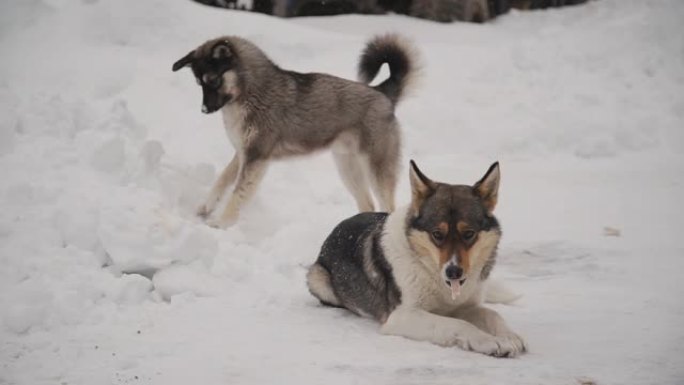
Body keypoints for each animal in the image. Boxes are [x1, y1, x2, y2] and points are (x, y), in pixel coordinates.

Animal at [171, 34, 416, 226]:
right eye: (199, 83)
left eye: (213, 80)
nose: (204, 109)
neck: (252, 91)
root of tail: (382, 93)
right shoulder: (242, 154)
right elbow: (221, 182)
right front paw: (205, 208)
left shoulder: (256, 157)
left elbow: (237, 194)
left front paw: (221, 223)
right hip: (348, 168)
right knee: (368, 204)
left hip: (376, 169)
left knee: (387, 207)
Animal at [308, 160, 528, 356]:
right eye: (437, 234)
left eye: (469, 234)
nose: (453, 272)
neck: (431, 271)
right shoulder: (401, 316)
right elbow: (458, 324)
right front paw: (488, 341)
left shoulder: (465, 306)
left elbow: (492, 314)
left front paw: (509, 336)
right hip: (317, 278)